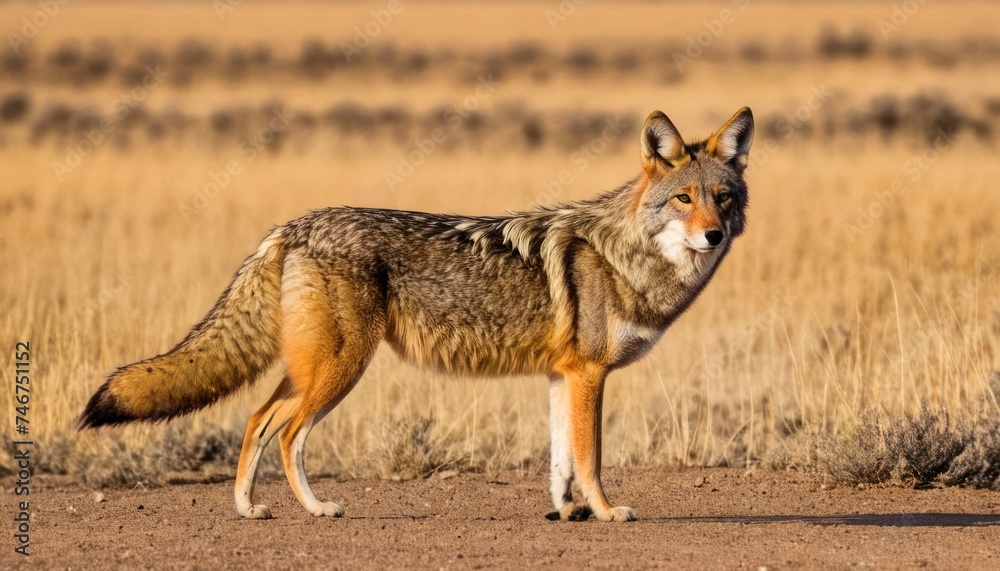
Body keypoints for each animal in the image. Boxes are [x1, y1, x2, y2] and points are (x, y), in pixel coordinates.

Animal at [79, 107, 754, 522]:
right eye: (683, 199)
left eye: (723, 197)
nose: (715, 235)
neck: (628, 255)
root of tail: (293, 225)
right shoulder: (588, 375)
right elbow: (590, 460)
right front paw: (609, 512)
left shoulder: (563, 377)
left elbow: (562, 461)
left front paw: (568, 512)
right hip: (339, 370)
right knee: (288, 434)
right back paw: (319, 510)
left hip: (311, 370)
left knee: (256, 419)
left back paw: (248, 508)